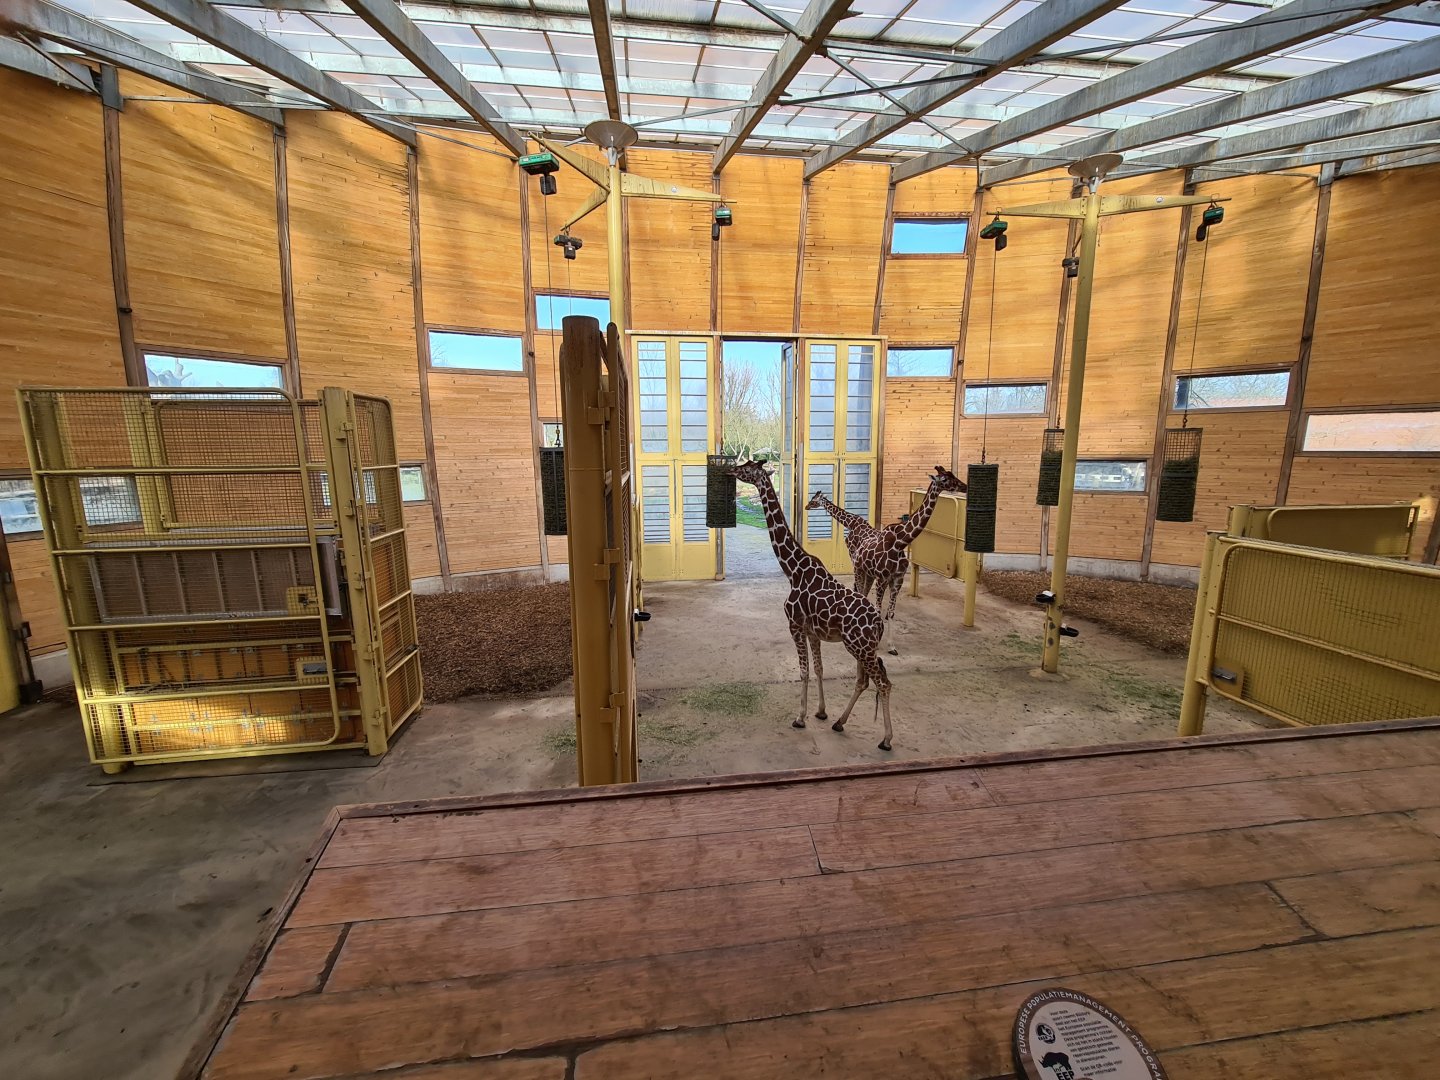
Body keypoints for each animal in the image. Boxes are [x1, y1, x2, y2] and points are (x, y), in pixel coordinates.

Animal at [730, 459, 896, 751]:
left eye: (747, 467)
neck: (793, 570)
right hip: (862, 648)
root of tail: (879, 625)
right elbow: (819, 669)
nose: (730, 470)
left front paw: (800, 717)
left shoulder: (794, 626)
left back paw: (886, 739)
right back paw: (839, 722)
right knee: (864, 681)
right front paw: (821, 712)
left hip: (859, 647)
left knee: (883, 683)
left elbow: (804, 671)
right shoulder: (813, 632)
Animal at [808, 466, 966, 654]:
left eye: (951, 476)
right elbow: (878, 608)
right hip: (859, 567)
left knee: (863, 592)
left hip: (867, 572)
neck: (900, 542)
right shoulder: (882, 578)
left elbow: (890, 612)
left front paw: (891, 646)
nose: (964, 486)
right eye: (944, 479)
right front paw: (876, 642)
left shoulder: (897, 579)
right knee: (860, 591)